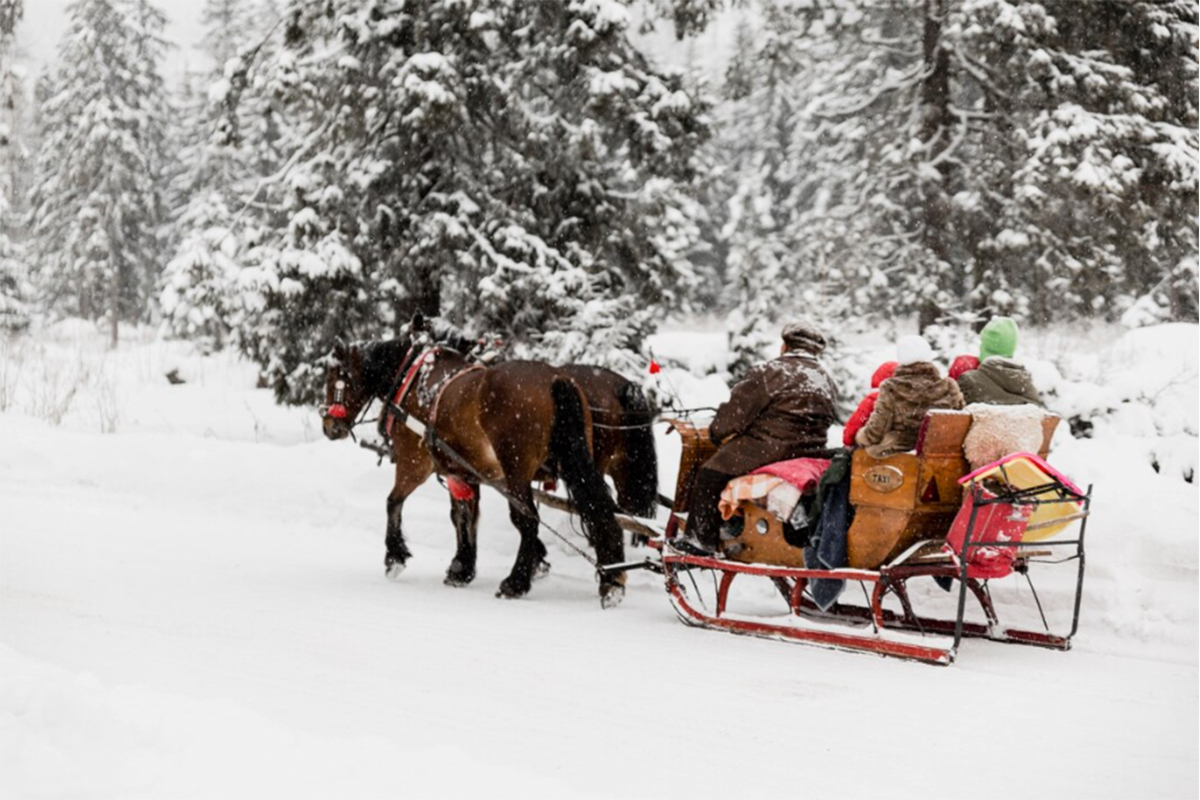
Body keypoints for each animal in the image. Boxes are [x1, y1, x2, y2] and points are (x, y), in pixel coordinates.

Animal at [324, 326, 652, 606]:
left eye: (336, 377)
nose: (329, 426)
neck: (412, 380)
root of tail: (555, 379)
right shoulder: (464, 473)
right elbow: (463, 516)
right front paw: (462, 567)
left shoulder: (414, 463)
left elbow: (394, 502)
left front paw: (395, 557)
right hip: (577, 462)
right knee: (599, 509)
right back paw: (611, 579)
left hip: (517, 471)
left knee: (528, 519)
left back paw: (515, 583)